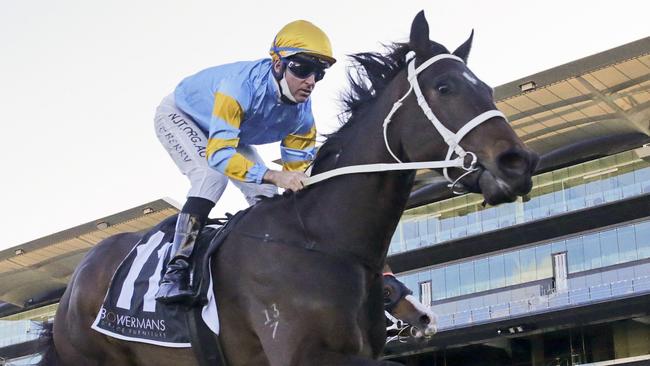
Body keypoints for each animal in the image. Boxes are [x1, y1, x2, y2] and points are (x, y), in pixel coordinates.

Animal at [39, 11, 536, 366]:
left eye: (485, 87)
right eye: (444, 86)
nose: (519, 162)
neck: (323, 241)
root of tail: (77, 278)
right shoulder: (306, 354)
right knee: (210, 173)